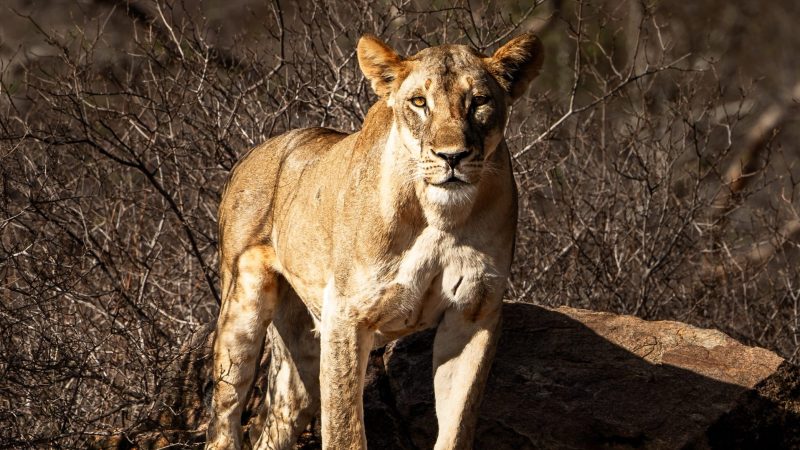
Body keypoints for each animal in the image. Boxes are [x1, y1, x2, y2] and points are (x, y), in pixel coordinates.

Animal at [205, 32, 543, 450]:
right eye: (419, 102)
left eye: (479, 101)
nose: (452, 157)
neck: (439, 215)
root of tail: (251, 153)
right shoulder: (347, 315)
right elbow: (345, 431)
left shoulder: (473, 315)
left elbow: (457, 425)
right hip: (242, 307)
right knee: (224, 419)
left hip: (301, 345)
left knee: (281, 419)